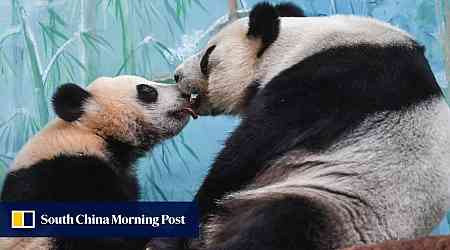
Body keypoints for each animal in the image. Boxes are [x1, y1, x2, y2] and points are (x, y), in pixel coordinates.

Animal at [165, 1, 450, 250]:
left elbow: (248, 149)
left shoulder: (329, 81)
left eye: (208, 56)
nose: (177, 75)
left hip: (337, 200)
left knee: (277, 223)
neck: (298, 44)